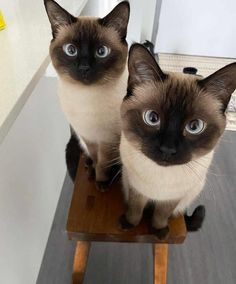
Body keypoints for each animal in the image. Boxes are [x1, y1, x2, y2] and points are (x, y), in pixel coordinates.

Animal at [43, 0, 129, 191]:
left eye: (101, 51)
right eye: (71, 50)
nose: (84, 68)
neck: (84, 98)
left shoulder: (108, 141)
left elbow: (104, 163)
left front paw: (101, 182)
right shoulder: (88, 137)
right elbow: (96, 158)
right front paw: (94, 172)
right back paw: (88, 166)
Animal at [120, 43, 236, 239]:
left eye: (194, 126)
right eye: (152, 118)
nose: (167, 149)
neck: (161, 177)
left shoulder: (173, 197)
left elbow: (161, 214)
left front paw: (159, 232)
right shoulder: (137, 189)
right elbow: (135, 210)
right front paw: (129, 225)